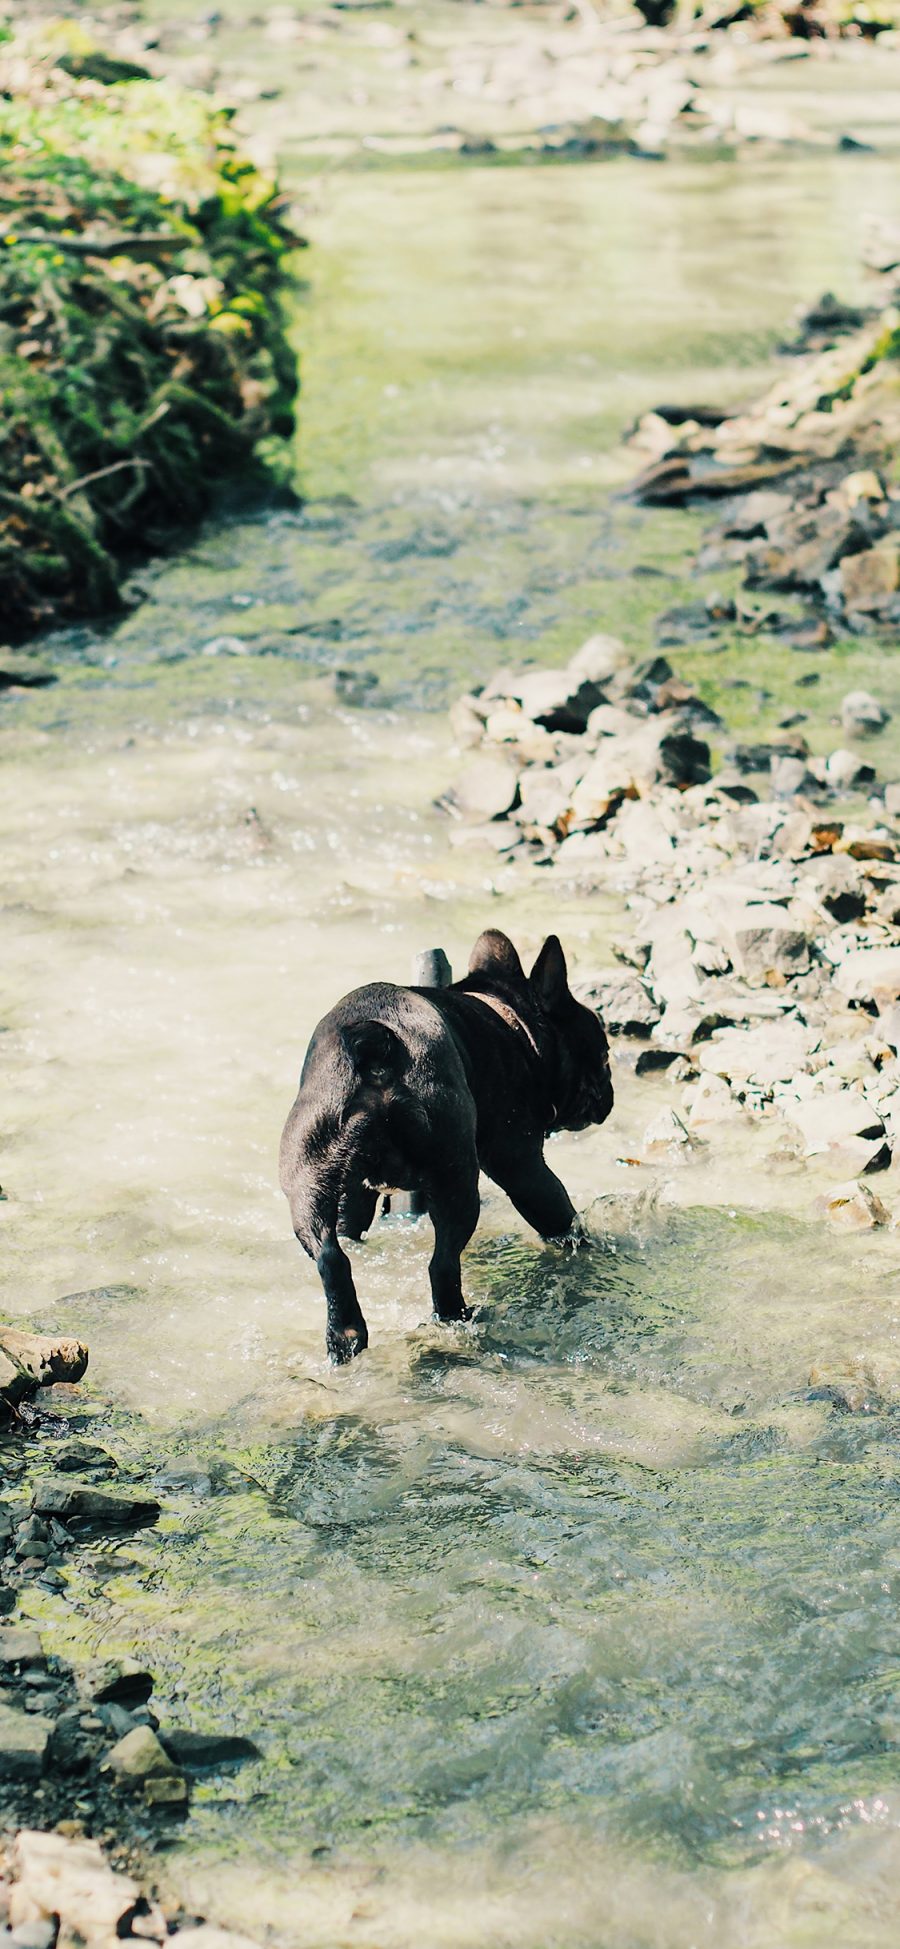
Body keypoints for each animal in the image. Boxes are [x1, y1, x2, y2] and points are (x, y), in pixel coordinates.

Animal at [278, 923, 611, 1356]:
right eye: (604, 1055)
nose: (609, 1089)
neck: (513, 1022)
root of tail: (377, 1045)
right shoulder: (522, 1165)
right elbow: (560, 1215)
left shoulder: (354, 1190)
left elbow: (349, 1223)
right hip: (457, 1180)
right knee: (444, 1263)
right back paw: (458, 1317)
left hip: (309, 1175)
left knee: (330, 1257)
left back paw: (345, 1336)